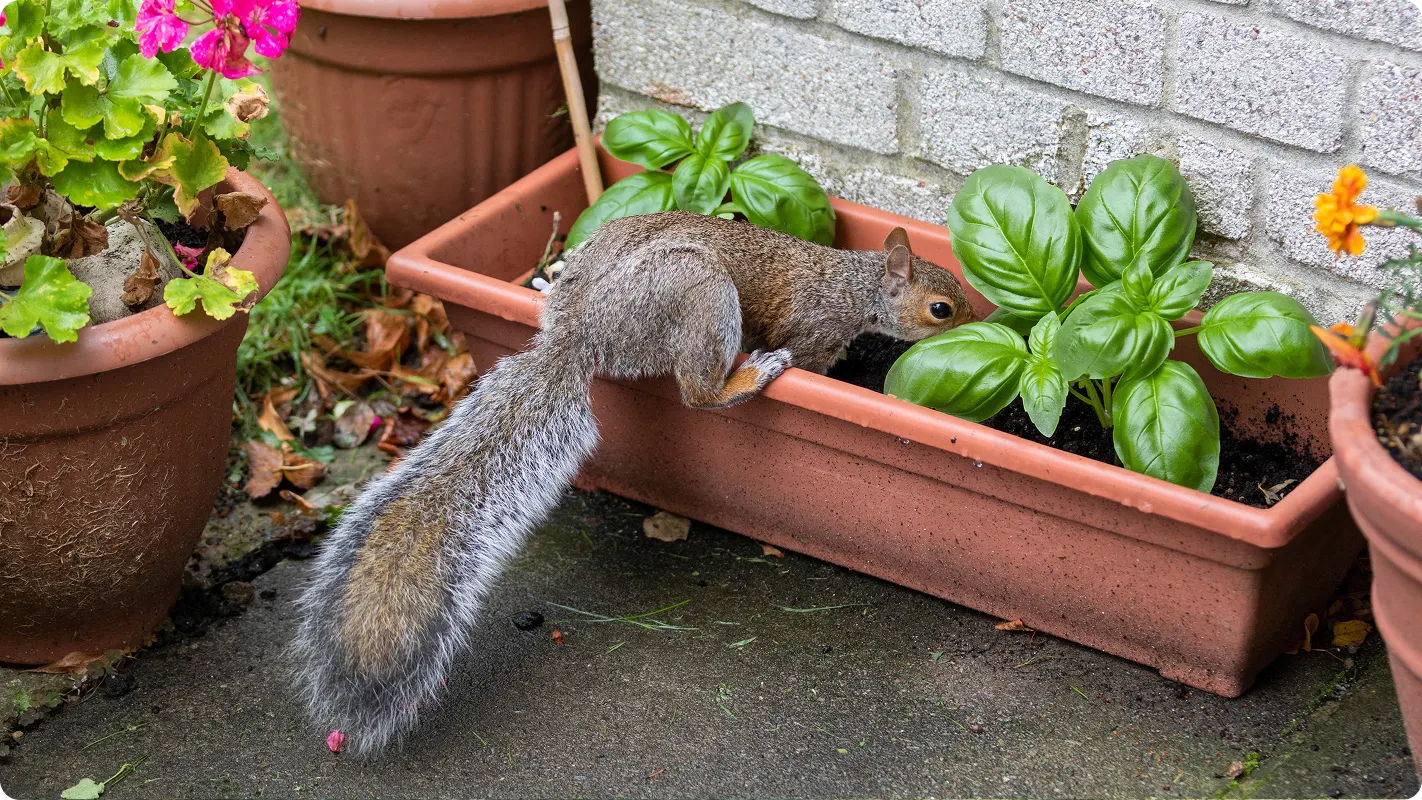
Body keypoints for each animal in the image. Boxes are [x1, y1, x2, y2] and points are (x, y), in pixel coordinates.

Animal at [291, 211, 975, 756]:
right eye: (941, 309)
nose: (979, 325)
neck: (857, 283)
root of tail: (580, 332)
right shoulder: (815, 330)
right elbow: (809, 357)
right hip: (699, 295)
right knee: (698, 394)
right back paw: (748, 376)